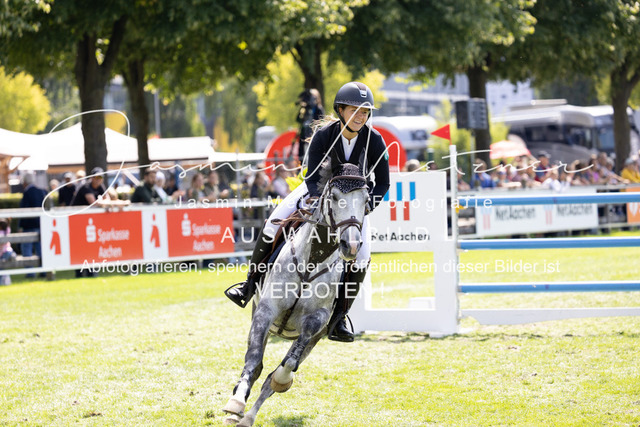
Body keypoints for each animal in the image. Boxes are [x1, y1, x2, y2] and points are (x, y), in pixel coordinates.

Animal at [222, 163, 370, 426]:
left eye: (366, 200)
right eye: (334, 197)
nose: (351, 246)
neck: (313, 259)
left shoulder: (316, 322)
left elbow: (286, 365)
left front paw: (281, 379)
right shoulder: (266, 311)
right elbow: (253, 359)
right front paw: (235, 403)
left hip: (314, 338)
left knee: (275, 376)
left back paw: (249, 417)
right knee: (257, 364)